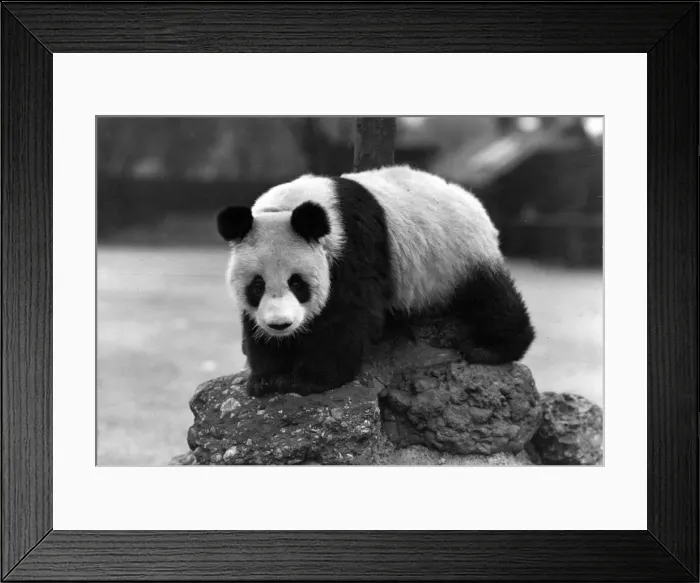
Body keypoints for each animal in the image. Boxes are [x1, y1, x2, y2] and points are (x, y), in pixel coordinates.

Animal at [216, 165, 535, 398]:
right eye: (256, 286)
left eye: (297, 283)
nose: (280, 324)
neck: (287, 209)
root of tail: (475, 202)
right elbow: (255, 327)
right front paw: (267, 377)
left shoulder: (354, 246)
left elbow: (347, 315)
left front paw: (308, 379)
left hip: (456, 257)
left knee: (490, 298)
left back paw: (489, 348)